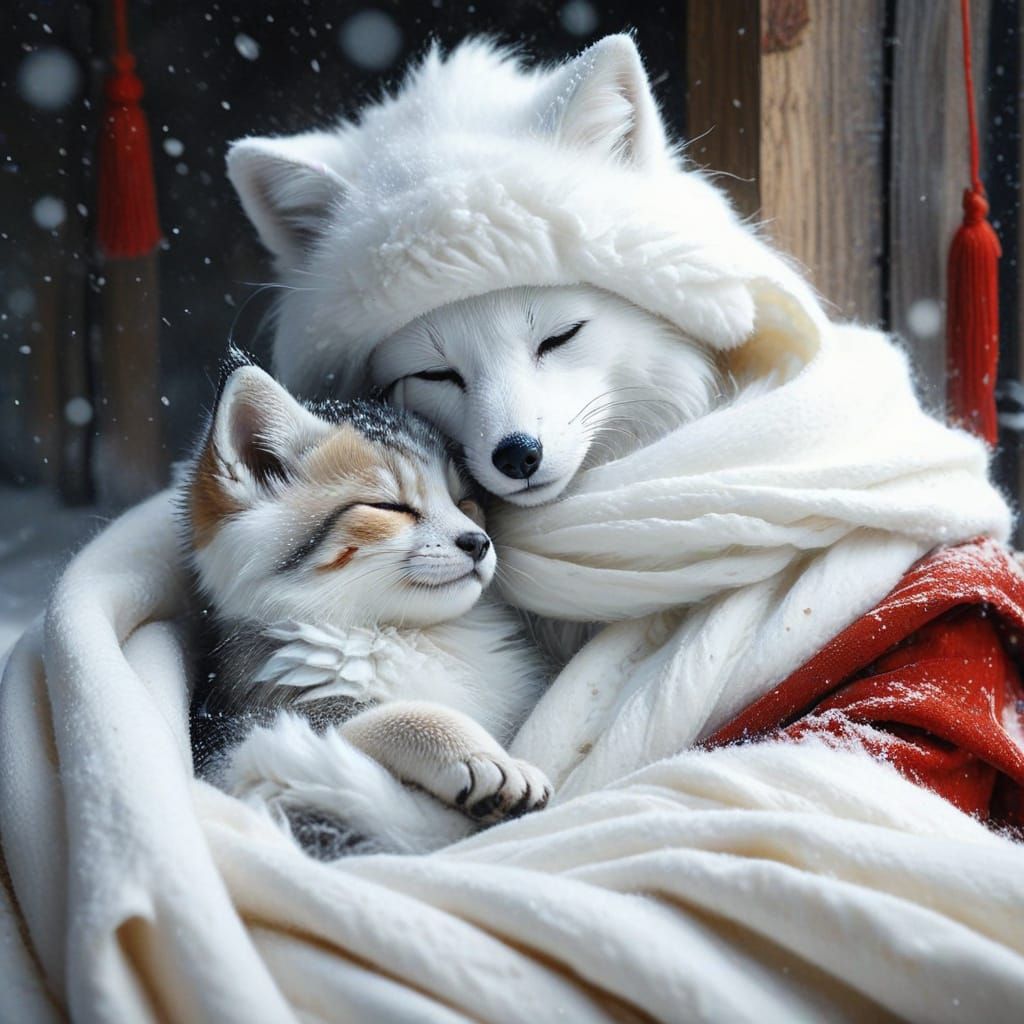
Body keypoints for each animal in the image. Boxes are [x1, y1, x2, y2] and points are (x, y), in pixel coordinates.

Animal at [181, 354, 551, 856]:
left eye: (465, 501)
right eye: (388, 507)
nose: (478, 542)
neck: (404, 633)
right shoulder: (239, 731)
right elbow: (388, 715)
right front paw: (479, 754)